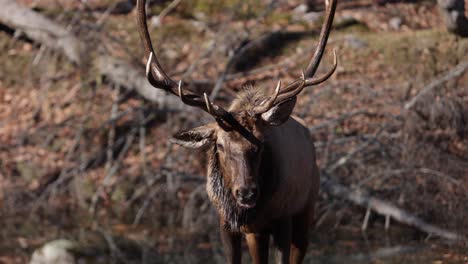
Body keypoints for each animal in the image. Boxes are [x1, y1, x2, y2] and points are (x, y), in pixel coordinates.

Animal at [135, 0, 336, 262]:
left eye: (261, 143)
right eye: (219, 145)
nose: (247, 193)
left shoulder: (283, 218)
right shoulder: (227, 224)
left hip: (306, 210)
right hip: (257, 234)